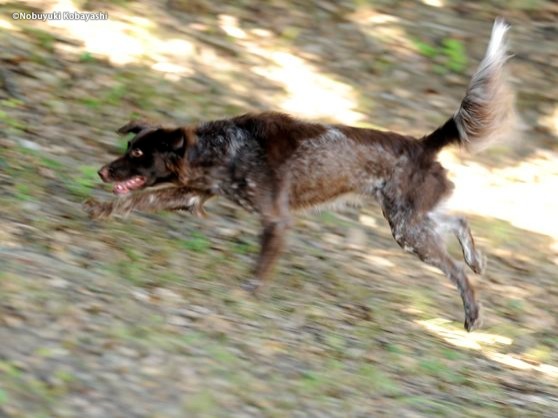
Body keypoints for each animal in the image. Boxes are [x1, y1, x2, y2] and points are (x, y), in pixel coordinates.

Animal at [85, 21, 520, 332]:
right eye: (129, 146)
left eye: (137, 153)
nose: (102, 169)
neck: (226, 147)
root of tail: (422, 143)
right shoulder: (191, 193)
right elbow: (136, 199)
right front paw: (101, 209)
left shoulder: (277, 220)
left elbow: (261, 267)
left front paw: (249, 295)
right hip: (409, 218)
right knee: (458, 222)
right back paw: (476, 259)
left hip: (407, 229)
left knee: (456, 270)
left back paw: (472, 312)